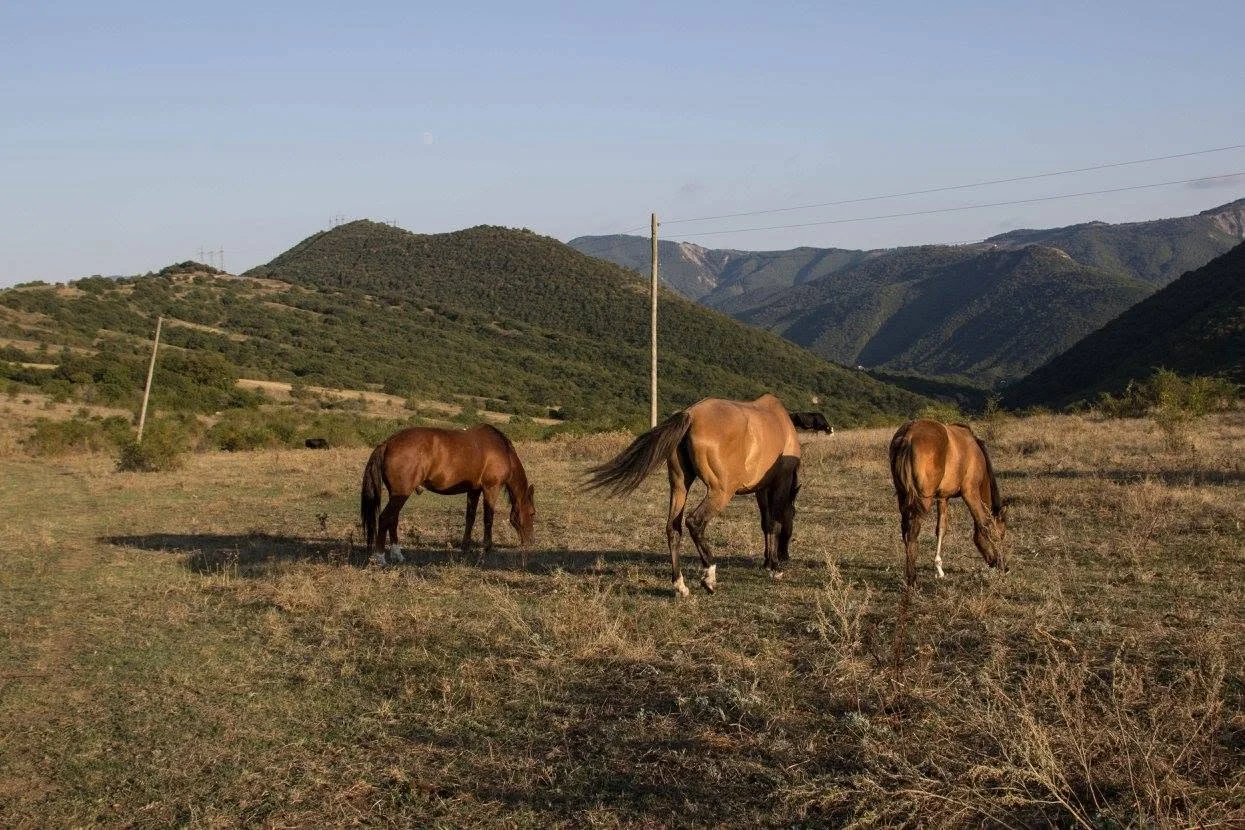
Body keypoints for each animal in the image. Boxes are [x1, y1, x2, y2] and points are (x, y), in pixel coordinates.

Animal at [360, 424, 535, 565]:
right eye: (533, 513)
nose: (531, 541)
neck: (502, 450)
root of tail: (388, 443)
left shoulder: (474, 490)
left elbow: (470, 518)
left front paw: (465, 549)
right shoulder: (491, 488)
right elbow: (488, 519)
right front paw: (486, 550)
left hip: (397, 494)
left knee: (393, 519)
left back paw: (398, 555)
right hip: (400, 493)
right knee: (385, 518)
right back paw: (380, 558)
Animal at [587, 394, 801, 597]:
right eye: (794, 514)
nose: (785, 555)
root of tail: (691, 414)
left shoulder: (761, 489)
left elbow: (766, 523)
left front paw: (768, 562)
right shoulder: (781, 482)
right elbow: (774, 523)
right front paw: (774, 567)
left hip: (679, 485)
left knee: (673, 529)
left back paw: (680, 585)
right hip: (720, 491)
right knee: (694, 522)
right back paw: (709, 576)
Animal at [888, 418, 1007, 586]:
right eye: (1000, 535)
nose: (1002, 566)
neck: (975, 451)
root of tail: (908, 434)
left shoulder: (943, 498)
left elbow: (941, 529)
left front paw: (939, 568)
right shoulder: (970, 492)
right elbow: (984, 524)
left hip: (903, 497)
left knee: (905, 532)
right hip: (923, 500)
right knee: (912, 534)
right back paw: (913, 581)